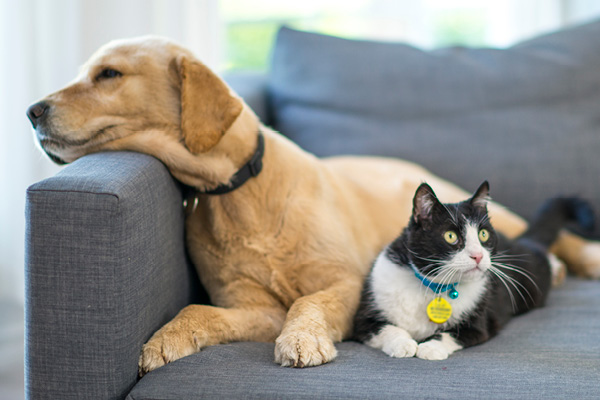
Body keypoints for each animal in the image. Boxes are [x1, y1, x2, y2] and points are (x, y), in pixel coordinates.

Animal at [354, 180, 592, 360]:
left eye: (483, 234)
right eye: (450, 236)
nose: (478, 255)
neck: (434, 288)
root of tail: (522, 241)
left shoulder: (480, 323)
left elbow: (452, 334)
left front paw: (430, 347)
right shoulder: (364, 317)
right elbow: (385, 328)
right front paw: (403, 344)